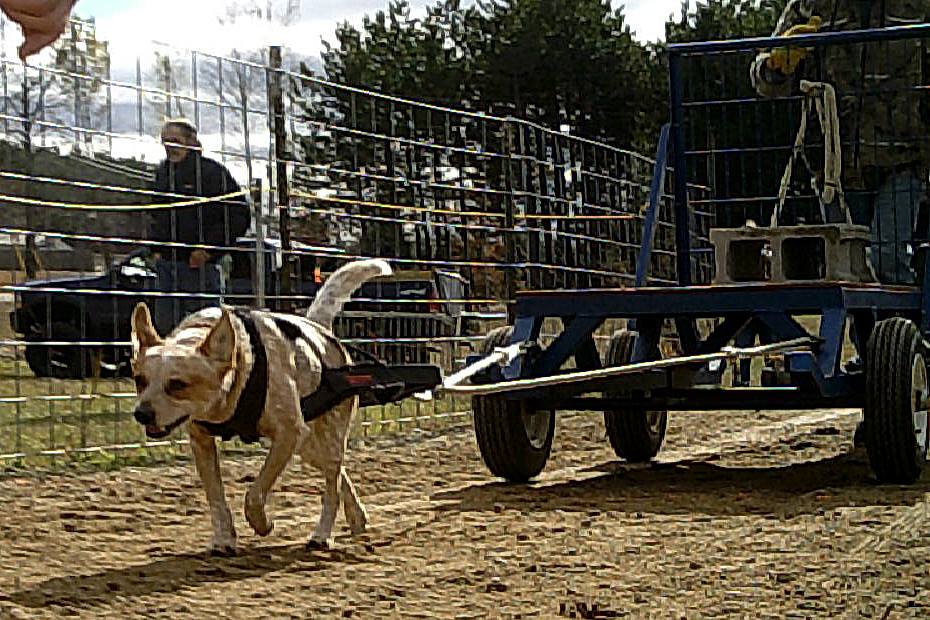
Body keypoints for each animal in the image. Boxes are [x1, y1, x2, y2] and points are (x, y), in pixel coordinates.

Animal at [129, 256, 390, 552]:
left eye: (177, 384)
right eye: (139, 380)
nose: (141, 414)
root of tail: (319, 331)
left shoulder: (287, 434)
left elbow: (255, 493)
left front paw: (262, 523)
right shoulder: (202, 441)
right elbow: (216, 497)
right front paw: (224, 539)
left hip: (328, 436)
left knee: (332, 486)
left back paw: (322, 535)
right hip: (308, 446)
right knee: (339, 474)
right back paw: (357, 518)